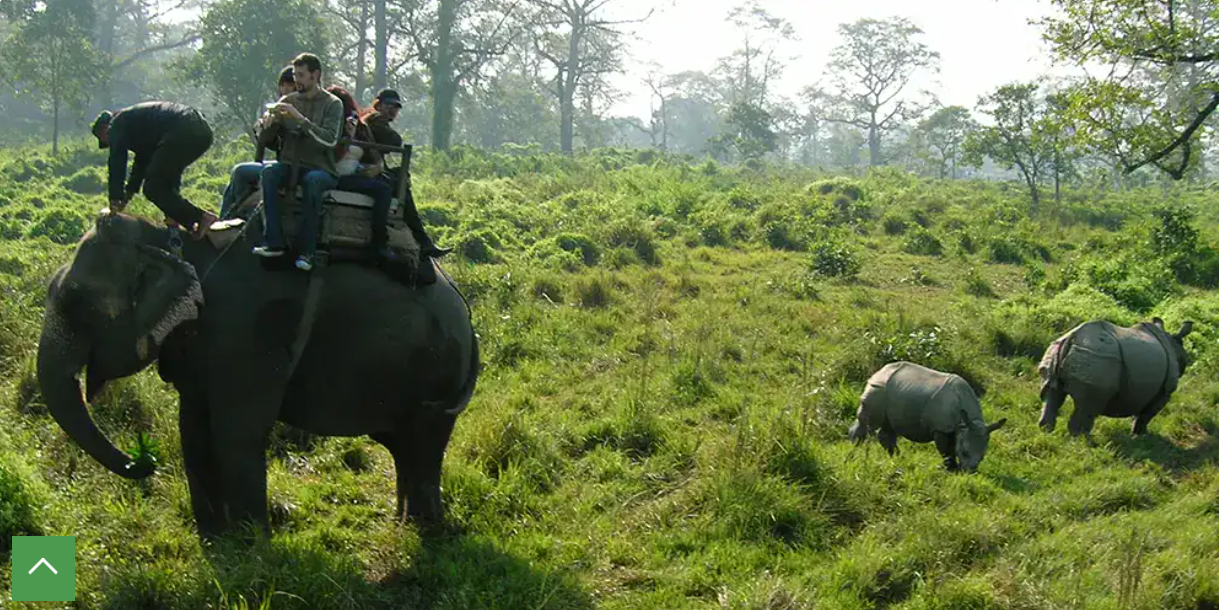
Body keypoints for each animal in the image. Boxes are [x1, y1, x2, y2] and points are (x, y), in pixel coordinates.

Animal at [36, 210, 480, 538]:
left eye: (77, 303)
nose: (144, 463)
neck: (171, 240)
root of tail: (466, 313)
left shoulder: (245, 333)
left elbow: (237, 430)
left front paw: (253, 548)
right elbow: (192, 428)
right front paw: (215, 542)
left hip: (436, 373)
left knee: (423, 447)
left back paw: (424, 532)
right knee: (406, 448)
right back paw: (404, 525)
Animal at [848, 361, 1007, 472]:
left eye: (983, 456)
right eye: (965, 452)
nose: (970, 472)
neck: (968, 421)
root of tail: (879, 372)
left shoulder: (958, 427)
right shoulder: (941, 428)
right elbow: (947, 451)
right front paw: (951, 469)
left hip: (893, 394)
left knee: (889, 427)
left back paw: (898, 457)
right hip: (879, 389)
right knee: (868, 421)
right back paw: (854, 447)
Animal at [1038, 317, 1192, 439]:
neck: (1172, 342)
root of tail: (1072, 337)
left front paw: (1138, 435)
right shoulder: (1165, 391)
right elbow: (1147, 415)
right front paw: (1141, 436)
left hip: (1056, 348)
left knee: (1051, 392)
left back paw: (1047, 431)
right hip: (1098, 358)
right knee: (1089, 406)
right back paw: (1085, 442)